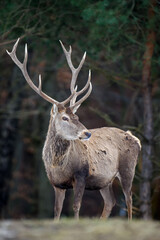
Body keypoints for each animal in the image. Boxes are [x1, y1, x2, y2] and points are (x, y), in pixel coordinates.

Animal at [6, 38, 141, 220]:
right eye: (65, 117)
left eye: (77, 116)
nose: (87, 132)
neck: (58, 166)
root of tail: (135, 139)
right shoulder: (56, 184)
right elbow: (56, 210)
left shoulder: (81, 175)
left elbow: (76, 206)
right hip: (104, 180)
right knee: (110, 202)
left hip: (128, 168)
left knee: (129, 199)